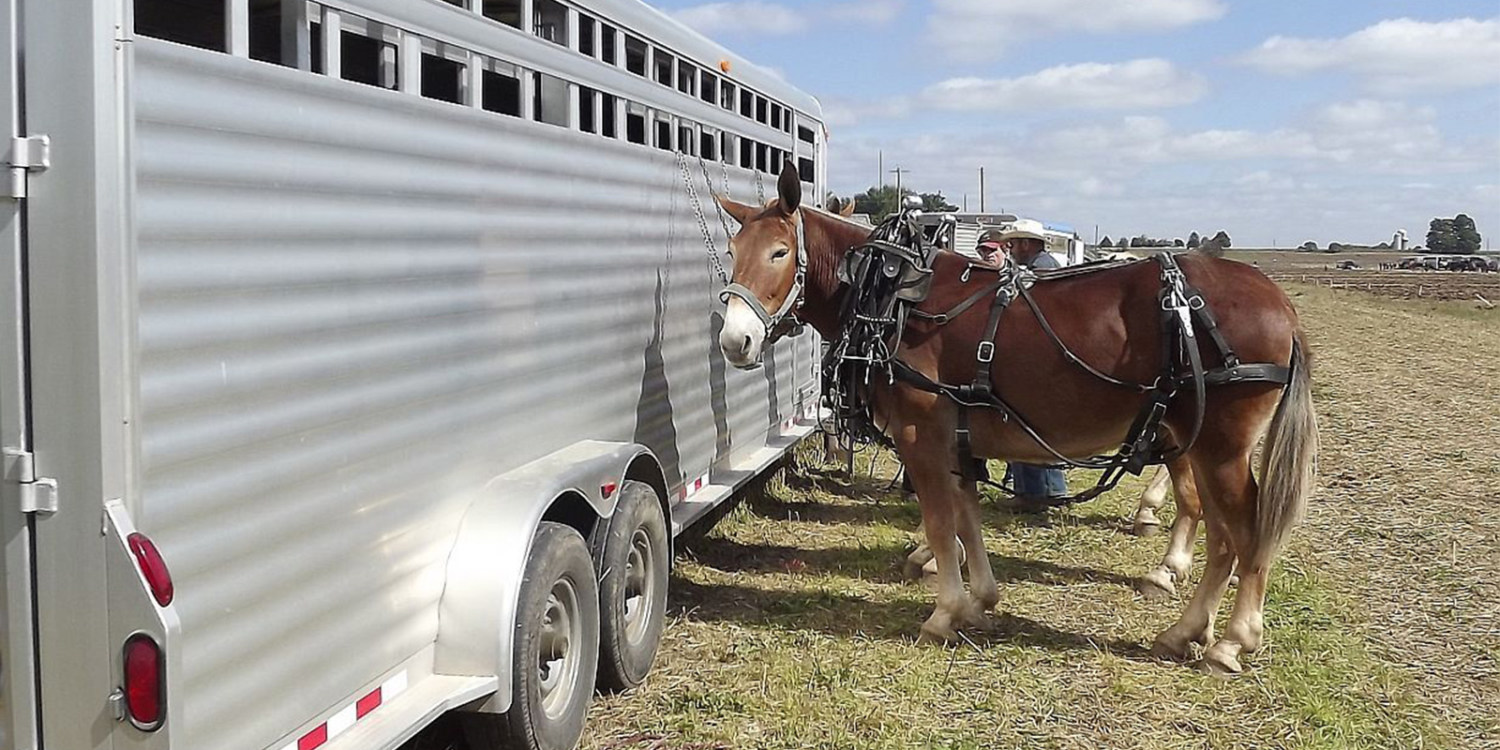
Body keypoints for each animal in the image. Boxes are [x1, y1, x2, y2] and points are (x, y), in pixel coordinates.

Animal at [720, 164, 1320, 675]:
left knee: (1245, 533)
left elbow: (940, 521)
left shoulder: (920, 436)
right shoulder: (957, 441)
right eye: (732, 250)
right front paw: (978, 600)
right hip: (1199, 443)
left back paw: (1231, 641)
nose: (734, 340)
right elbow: (965, 517)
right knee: (1220, 533)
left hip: (1220, 445)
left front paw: (943, 612)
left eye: (779, 252)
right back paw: (1186, 630)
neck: (893, 297)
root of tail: (1280, 306)